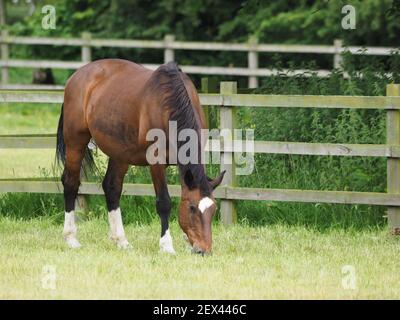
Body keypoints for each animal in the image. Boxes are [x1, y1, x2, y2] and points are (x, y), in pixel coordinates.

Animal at [55, 58, 225, 255]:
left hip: (120, 152)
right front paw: (166, 246)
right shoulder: (157, 162)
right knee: (71, 183)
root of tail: (77, 76)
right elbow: (164, 202)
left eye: (213, 209)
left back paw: (121, 240)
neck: (169, 106)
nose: (204, 250)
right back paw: (71, 238)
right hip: (75, 143)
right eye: (191, 208)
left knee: (112, 187)